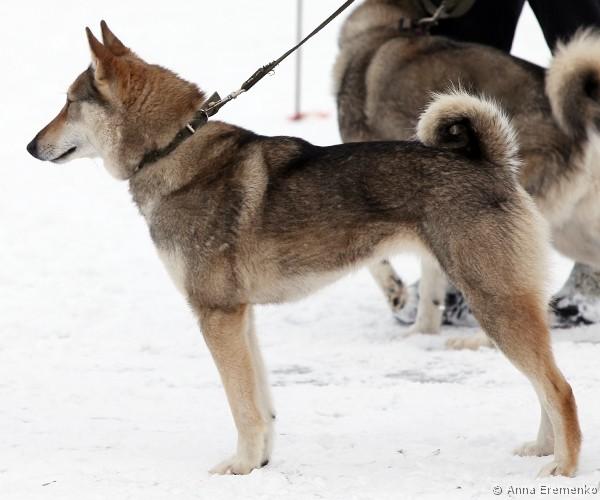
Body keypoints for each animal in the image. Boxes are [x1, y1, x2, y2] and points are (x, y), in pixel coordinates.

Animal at [27, 22, 581, 477]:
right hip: (507, 303)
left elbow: (242, 405)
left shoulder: (217, 314)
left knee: (561, 388)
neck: (172, 148)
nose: (30, 146)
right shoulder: (241, 315)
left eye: (68, 102)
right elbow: (261, 402)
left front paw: (240, 467)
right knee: (546, 383)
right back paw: (542, 449)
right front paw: (261, 462)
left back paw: (564, 467)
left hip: (494, 301)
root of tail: (492, 162)